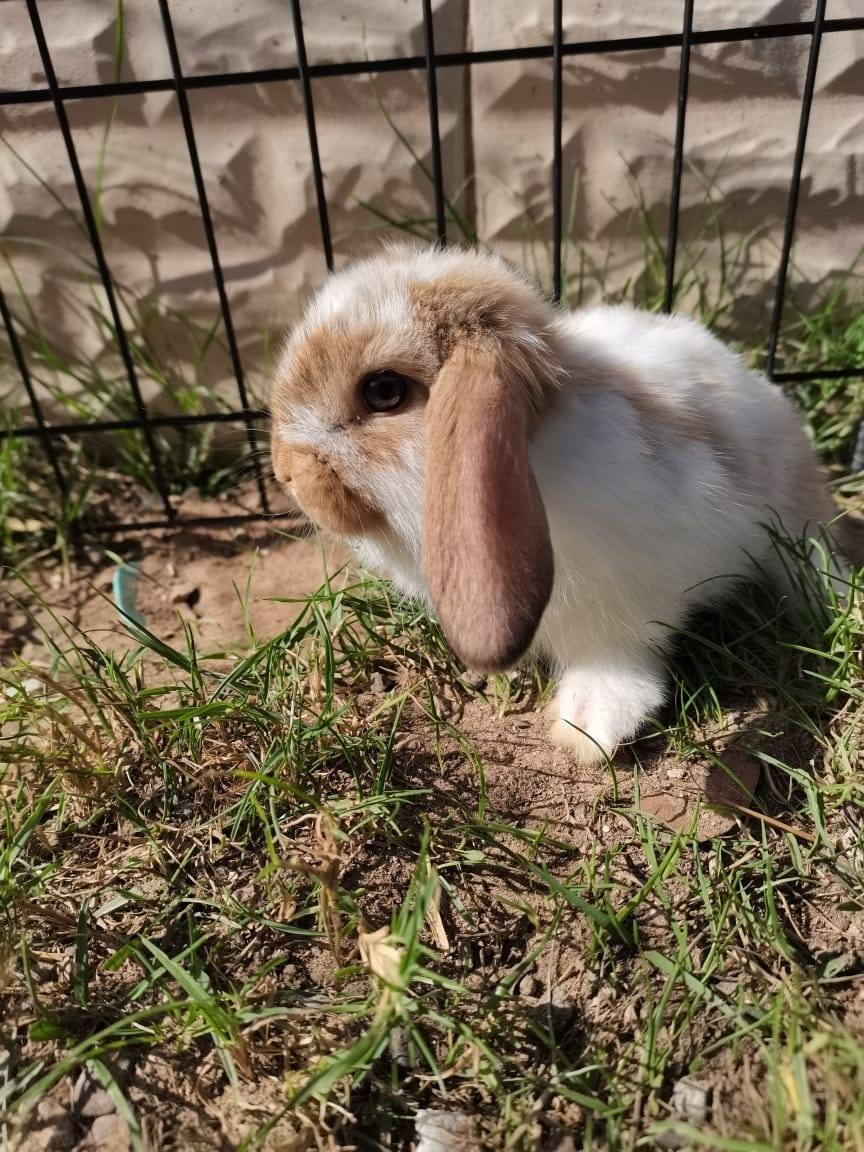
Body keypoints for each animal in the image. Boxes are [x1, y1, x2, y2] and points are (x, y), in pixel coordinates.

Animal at [270, 242, 847, 766]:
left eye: (384, 391)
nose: (286, 472)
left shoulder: (629, 606)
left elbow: (616, 660)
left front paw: (588, 727)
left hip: (794, 521)